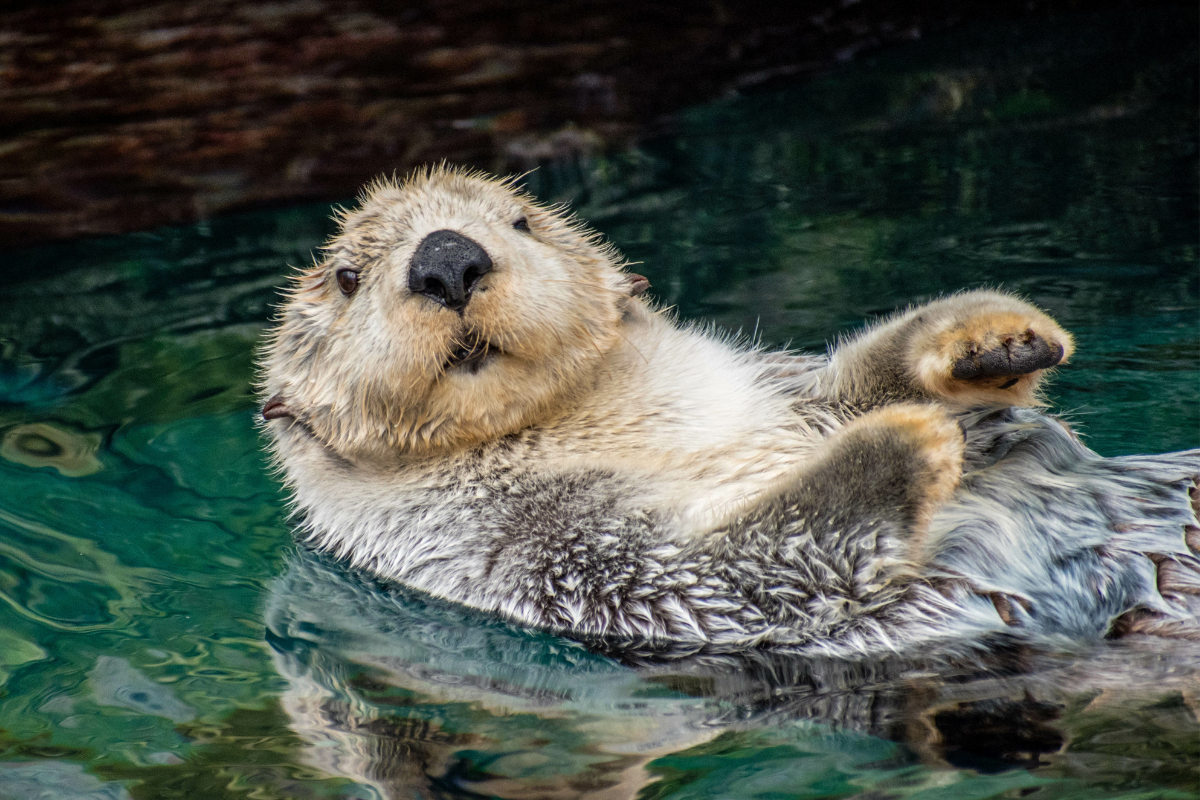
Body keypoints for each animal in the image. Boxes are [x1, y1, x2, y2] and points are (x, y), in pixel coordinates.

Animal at [260, 165, 1200, 662]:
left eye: (520, 221)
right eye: (347, 276)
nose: (448, 258)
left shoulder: (787, 395)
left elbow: (859, 379)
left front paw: (992, 337)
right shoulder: (543, 554)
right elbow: (738, 570)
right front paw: (906, 438)